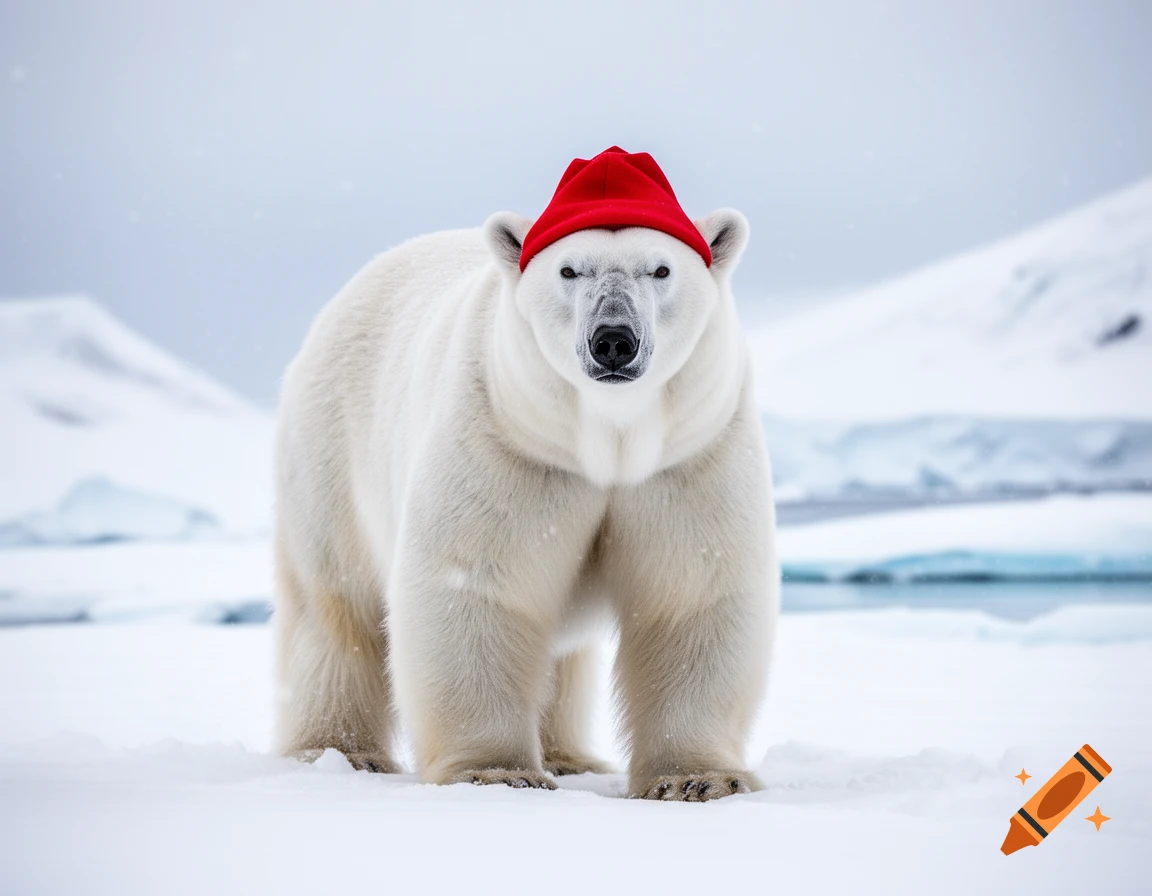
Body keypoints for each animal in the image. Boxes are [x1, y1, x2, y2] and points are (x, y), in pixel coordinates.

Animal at [274, 147, 779, 801]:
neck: (604, 440)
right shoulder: (506, 443)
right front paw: (496, 772)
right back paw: (339, 752)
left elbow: (693, 593)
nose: (613, 339)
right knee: (337, 608)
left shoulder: (689, 457)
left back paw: (569, 757)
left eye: (661, 269)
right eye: (569, 270)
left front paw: (698, 780)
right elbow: (479, 585)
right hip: (332, 451)